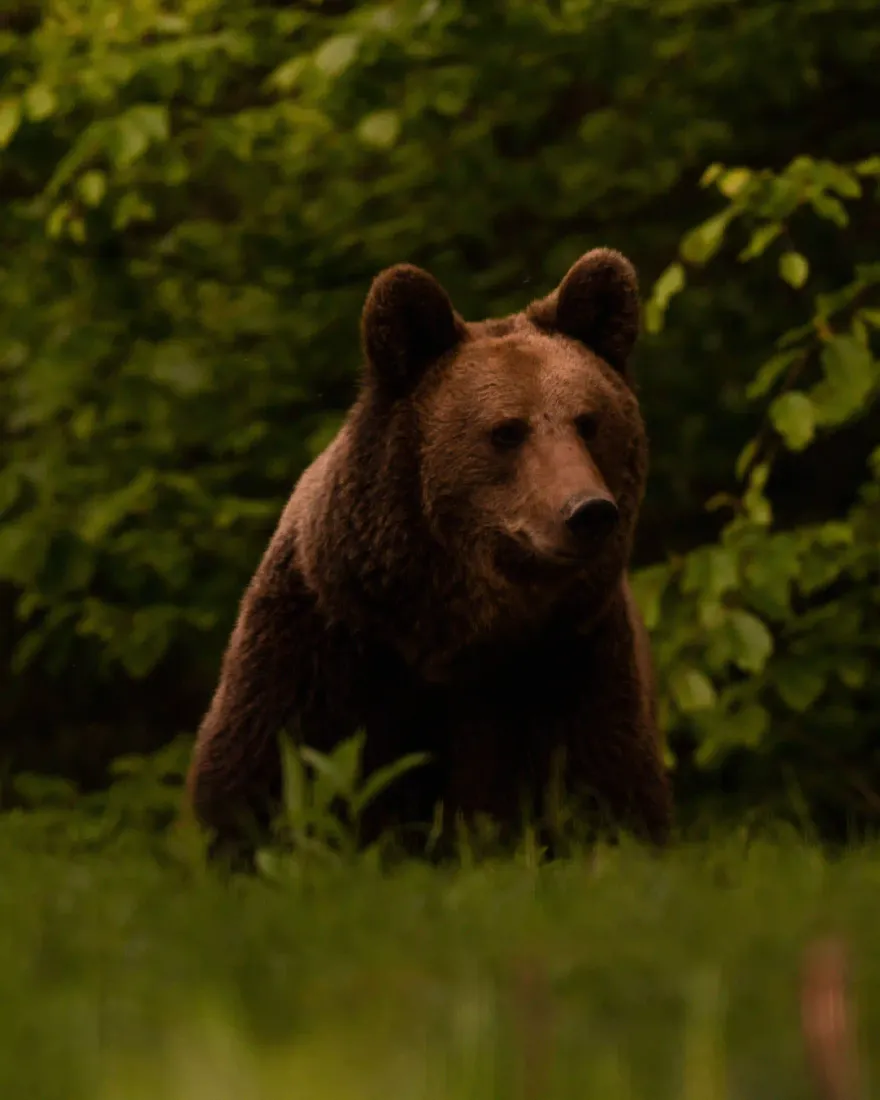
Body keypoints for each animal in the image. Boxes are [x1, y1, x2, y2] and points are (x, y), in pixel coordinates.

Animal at [186, 247, 673, 866]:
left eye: (589, 422)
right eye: (507, 431)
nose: (588, 511)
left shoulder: (570, 664)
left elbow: (610, 792)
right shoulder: (324, 646)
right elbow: (255, 780)